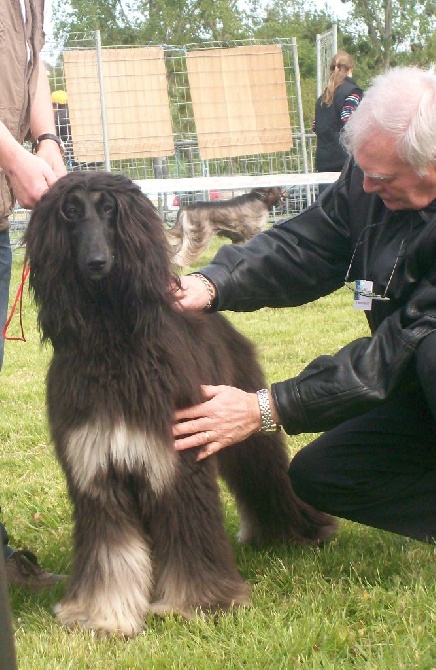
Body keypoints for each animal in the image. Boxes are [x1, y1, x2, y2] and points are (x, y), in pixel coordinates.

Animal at [23, 173, 336, 640]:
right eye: (71, 213)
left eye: (109, 209)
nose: (96, 262)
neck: (112, 346)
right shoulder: (97, 472)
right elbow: (110, 554)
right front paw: (104, 616)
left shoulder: (177, 460)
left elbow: (189, 535)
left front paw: (200, 603)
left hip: (242, 425)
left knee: (265, 475)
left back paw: (299, 531)